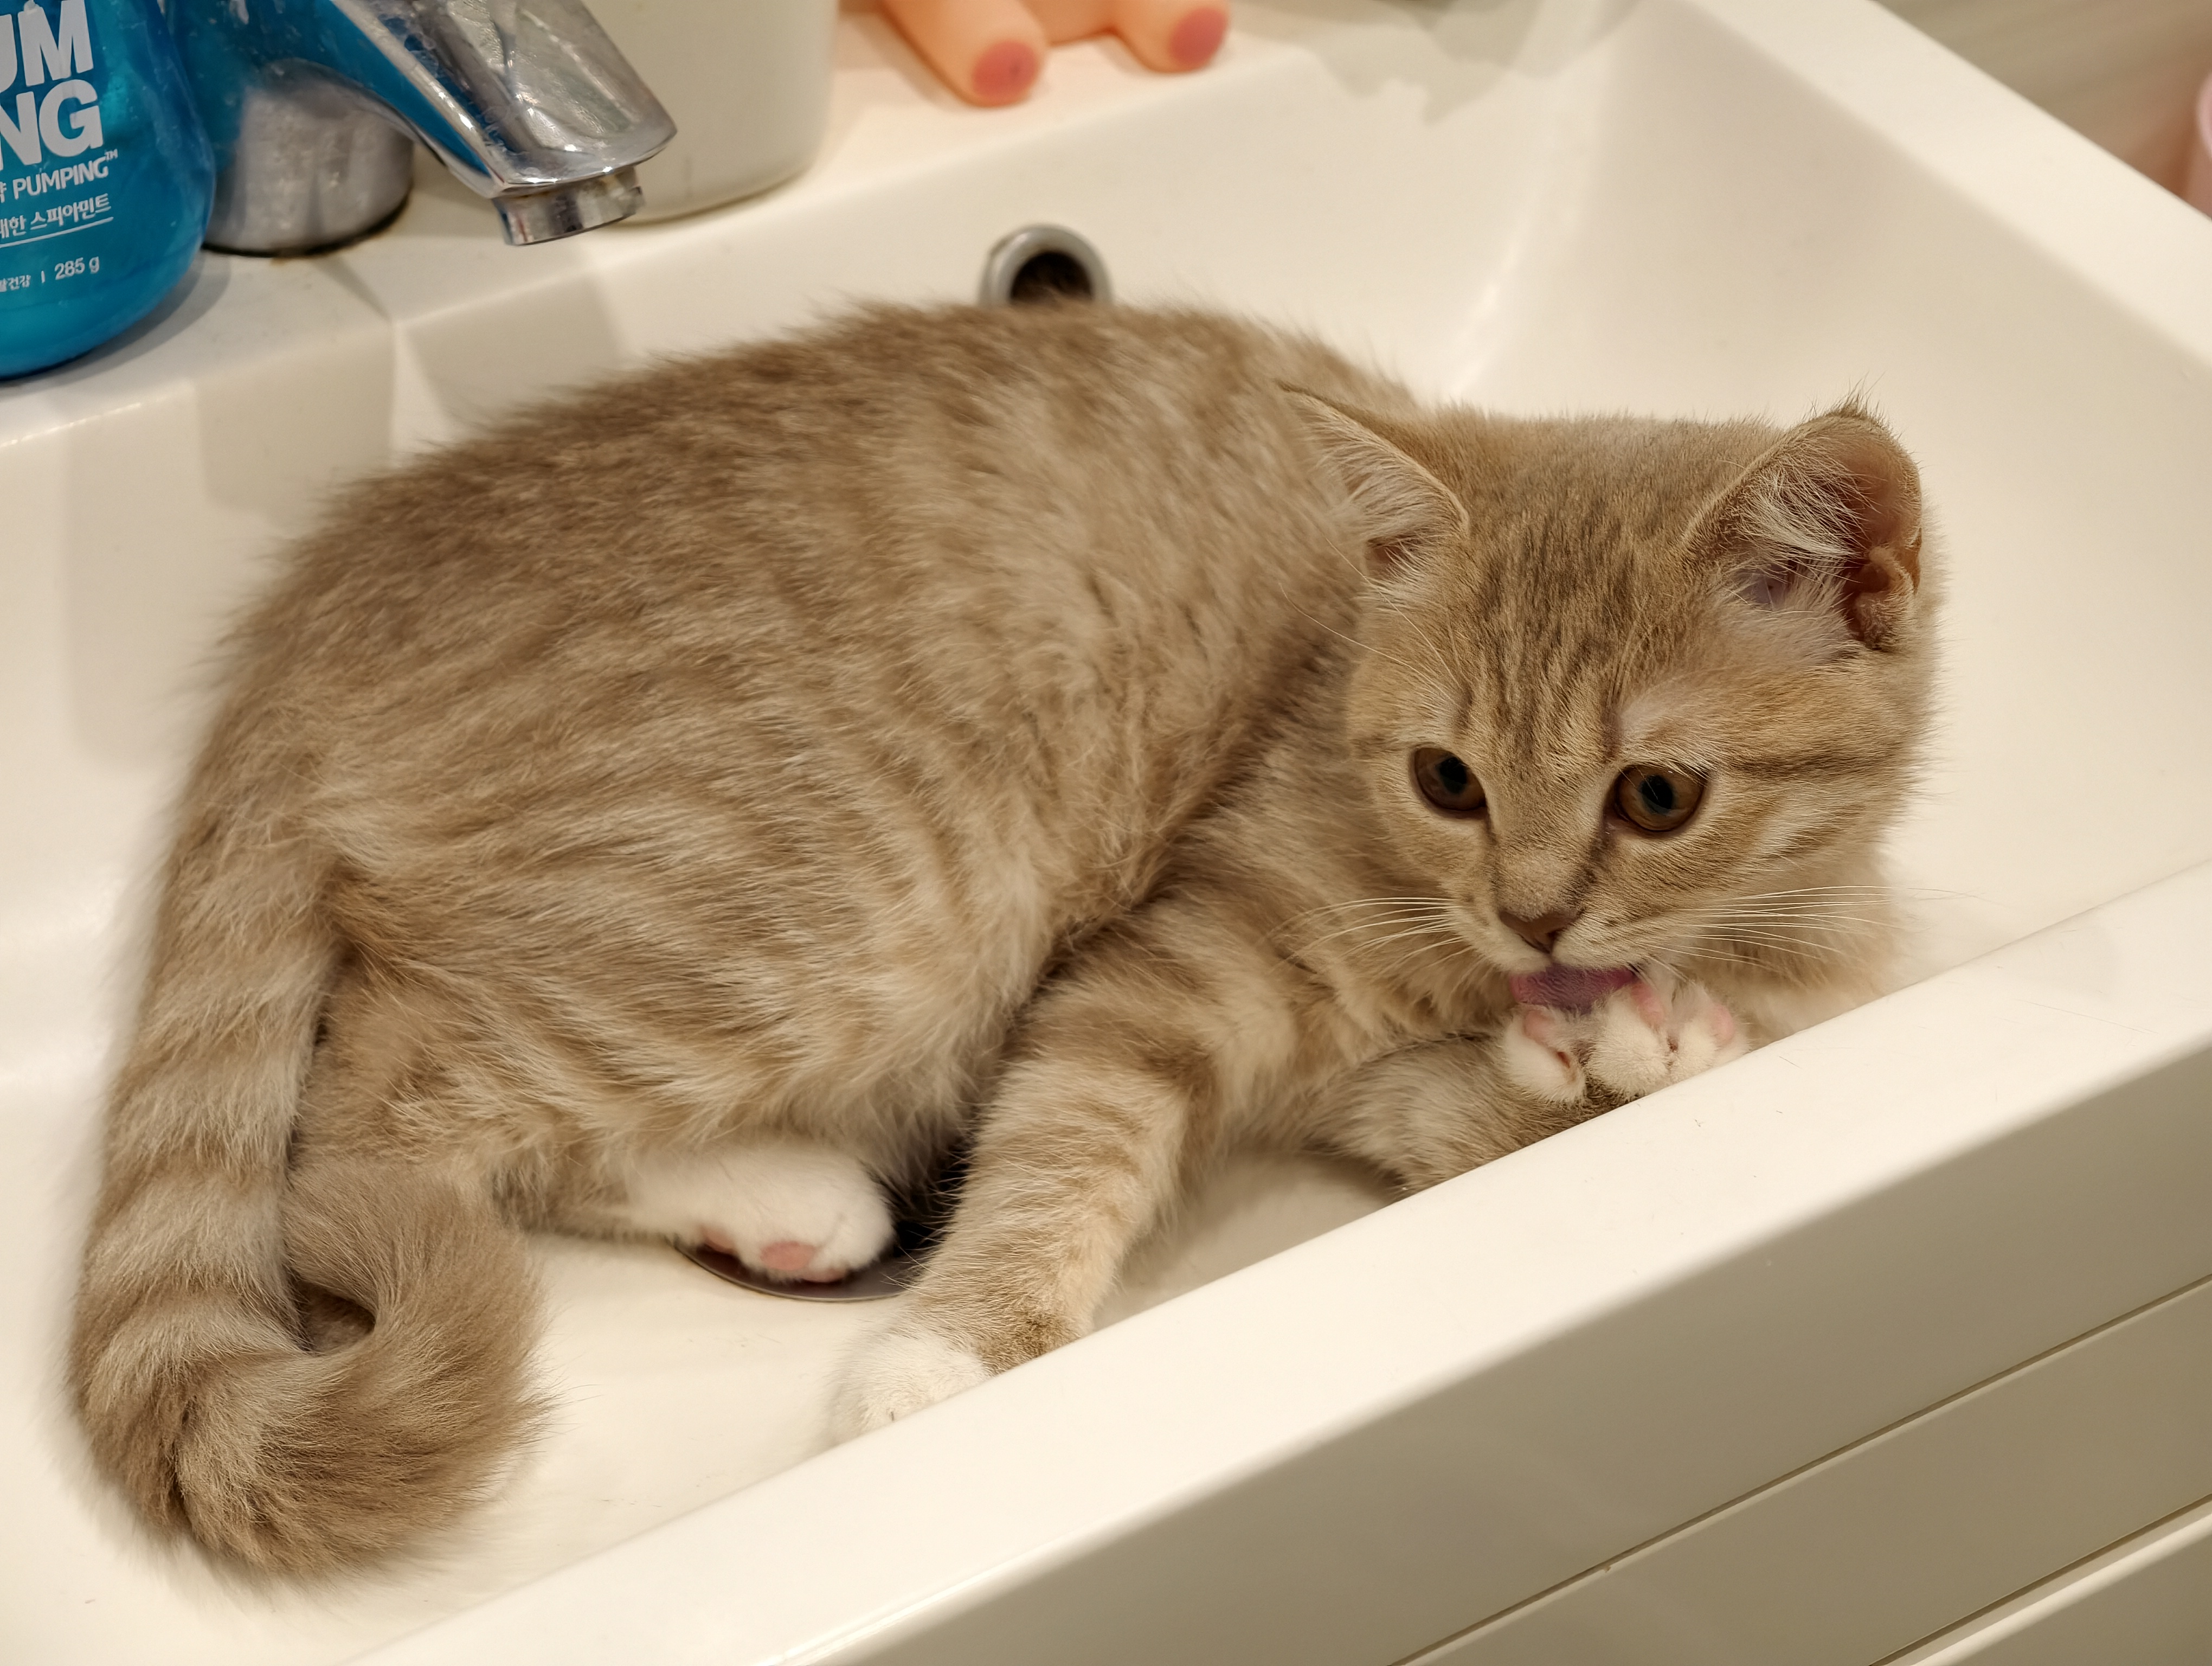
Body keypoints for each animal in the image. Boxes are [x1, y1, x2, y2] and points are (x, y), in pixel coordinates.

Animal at [68, 301, 1934, 1575]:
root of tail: (317, 604)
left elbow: (1506, 1096)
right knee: (365, 1116)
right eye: (1447, 779)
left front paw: (1627, 1046)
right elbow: (1074, 1139)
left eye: (1657, 795)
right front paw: (941, 1358)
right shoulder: (1172, 961)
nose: (1534, 911)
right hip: (862, 905)